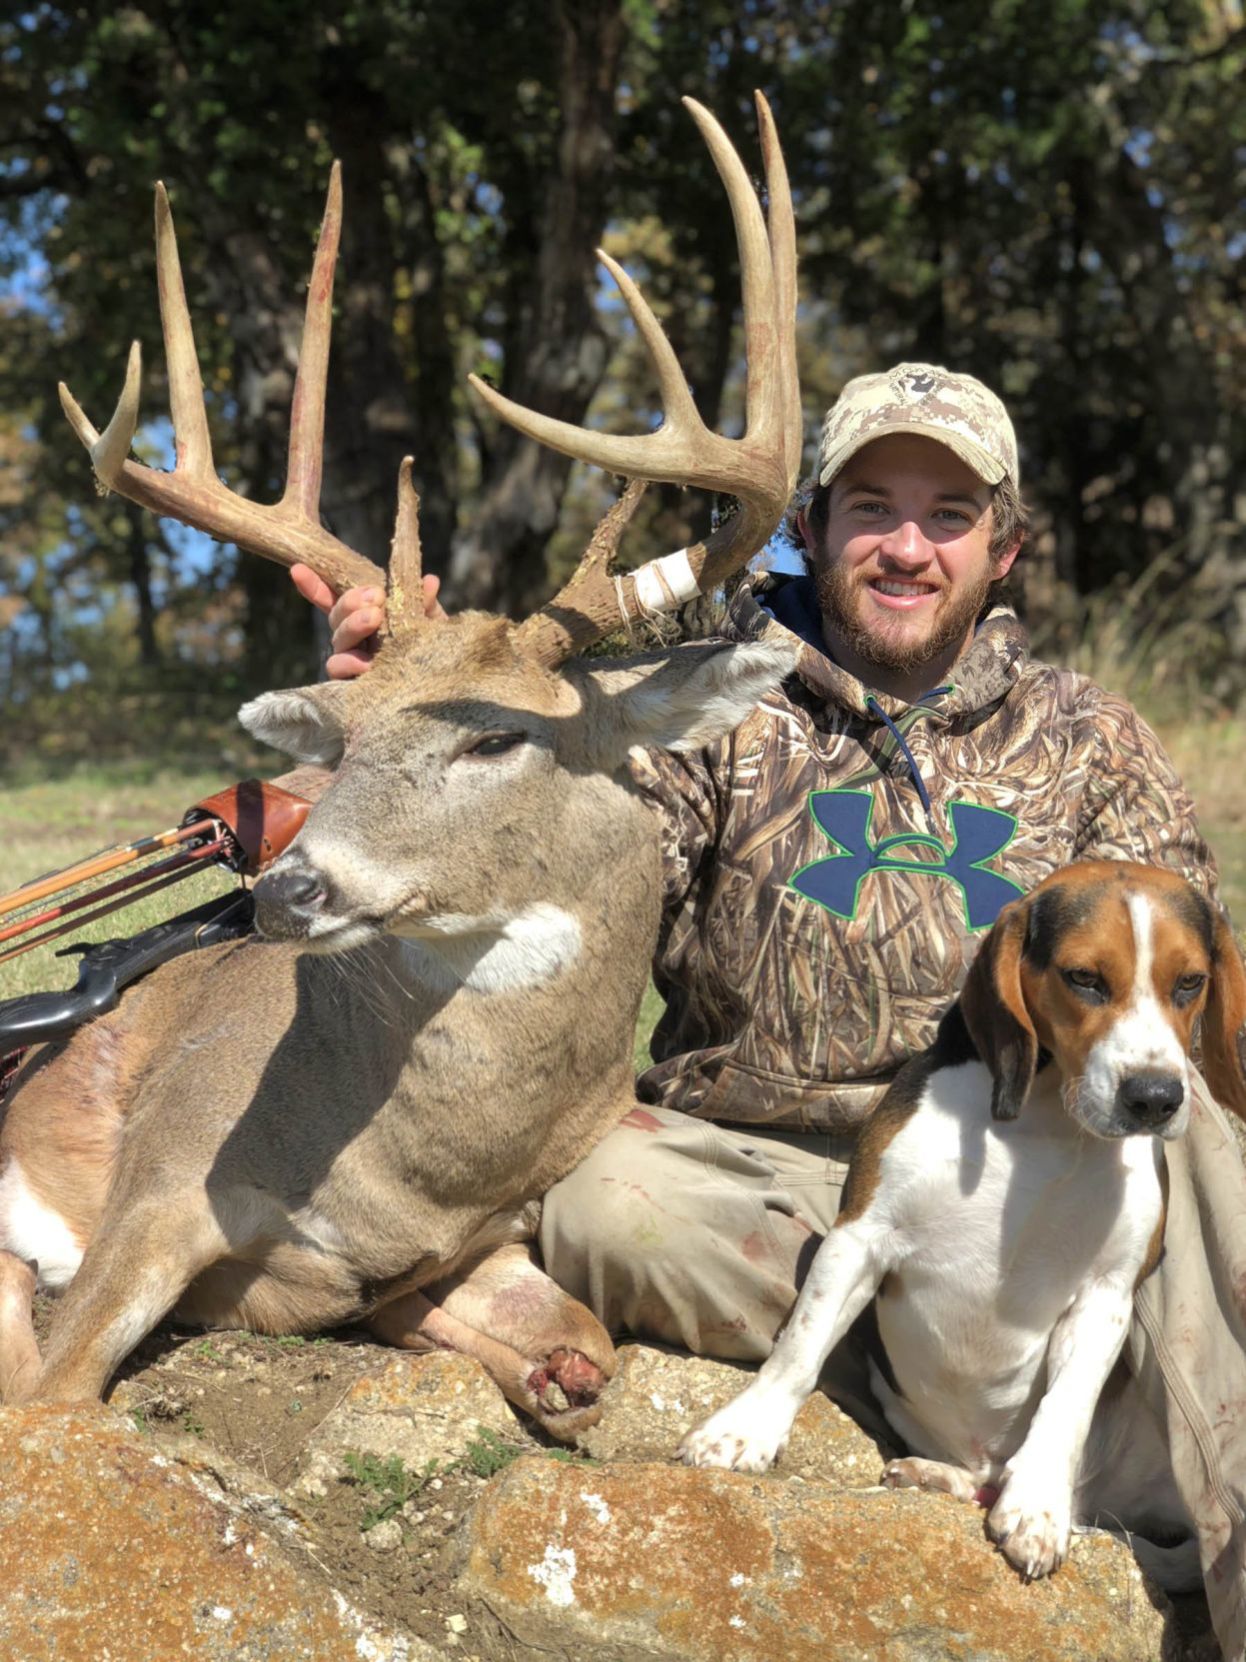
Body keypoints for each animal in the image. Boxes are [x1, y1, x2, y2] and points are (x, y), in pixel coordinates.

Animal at [0, 95, 803, 1440]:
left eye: (497, 733)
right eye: (350, 740)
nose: (290, 890)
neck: (419, 1168)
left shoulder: (468, 1247)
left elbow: (584, 1355)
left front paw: (532, 1367)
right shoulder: (164, 1174)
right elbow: (55, 1398)